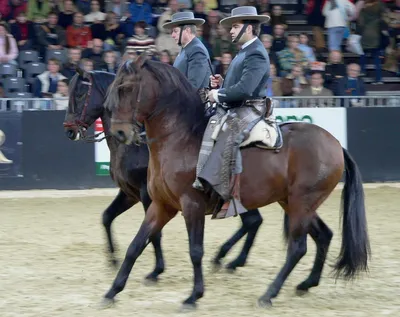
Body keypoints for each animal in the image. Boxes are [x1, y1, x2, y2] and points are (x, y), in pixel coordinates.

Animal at [62, 69, 264, 278]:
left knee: (252, 221)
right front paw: (113, 261)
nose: (69, 130)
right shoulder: (129, 193)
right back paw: (228, 259)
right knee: (254, 221)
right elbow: (107, 217)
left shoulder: (147, 195)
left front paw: (157, 269)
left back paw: (229, 259)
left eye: (80, 94)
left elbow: (155, 234)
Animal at [101, 55, 370, 308]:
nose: (120, 133)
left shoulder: (192, 205)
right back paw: (306, 283)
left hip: (301, 204)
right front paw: (112, 291)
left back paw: (268, 294)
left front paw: (194, 296)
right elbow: (136, 245)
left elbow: (195, 251)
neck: (180, 138)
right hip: (294, 204)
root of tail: (335, 143)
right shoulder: (160, 205)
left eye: (126, 88)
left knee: (296, 248)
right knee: (323, 235)